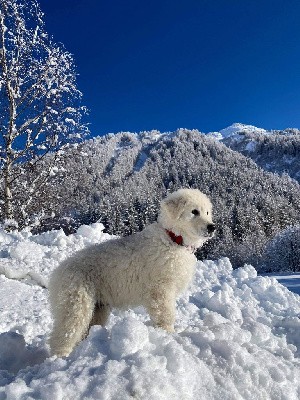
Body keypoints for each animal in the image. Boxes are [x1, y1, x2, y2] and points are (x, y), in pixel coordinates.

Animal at [48, 189, 214, 358]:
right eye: (194, 211)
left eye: (207, 212)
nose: (212, 227)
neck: (173, 239)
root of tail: (57, 272)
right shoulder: (161, 290)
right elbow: (166, 315)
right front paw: (168, 334)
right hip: (77, 304)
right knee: (63, 334)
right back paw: (60, 357)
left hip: (98, 308)